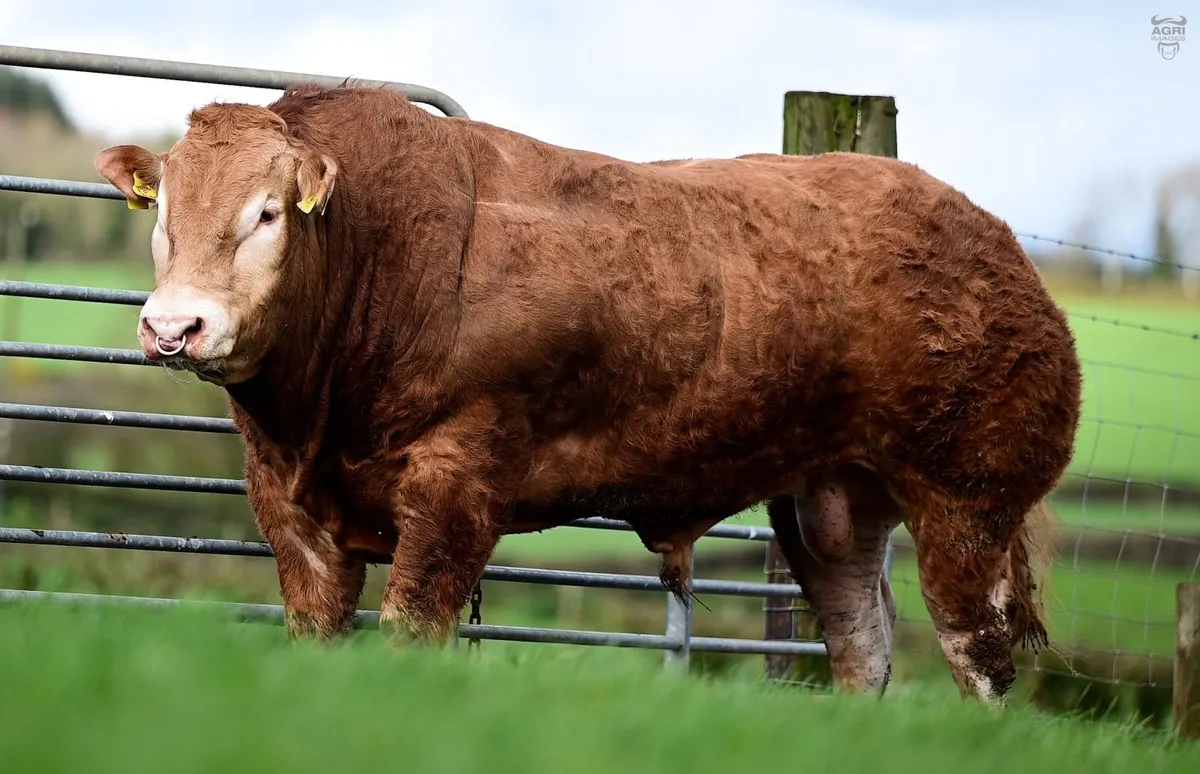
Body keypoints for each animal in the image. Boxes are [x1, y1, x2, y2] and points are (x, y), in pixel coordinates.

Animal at [94, 82, 1081, 706]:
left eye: (266, 212)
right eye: (163, 210)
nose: (175, 327)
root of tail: (994, 242)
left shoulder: (459, 487)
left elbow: (414, 625)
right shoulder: (288, 503)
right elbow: (316, 628)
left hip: (968, 500)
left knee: (977, 654)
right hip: (833, 501)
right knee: (861, 639)